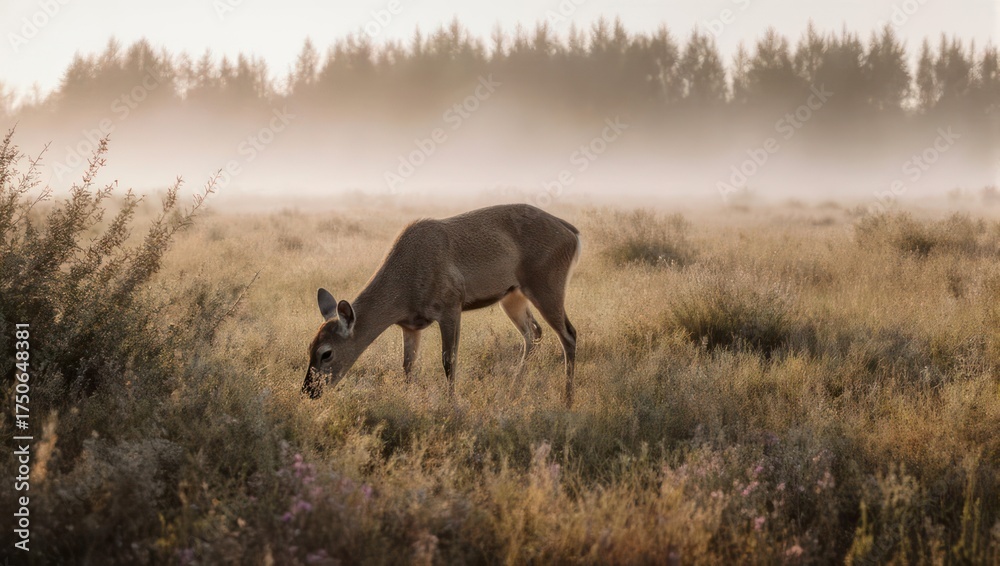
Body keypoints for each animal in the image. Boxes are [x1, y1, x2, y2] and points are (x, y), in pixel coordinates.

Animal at [303, 204, 582, 407]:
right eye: (309, 348)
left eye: (326, 353)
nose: (308, 391)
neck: (405, 291)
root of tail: (573, 233)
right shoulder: (410, 325)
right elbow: (407, 366)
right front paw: (407, 399)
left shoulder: (451, 304)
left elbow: (449, 360)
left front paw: (451, 403)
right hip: (512, 295)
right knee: (533, 332)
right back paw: (514, 392)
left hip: (547, 282)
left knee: (568, 334)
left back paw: (567, 399)